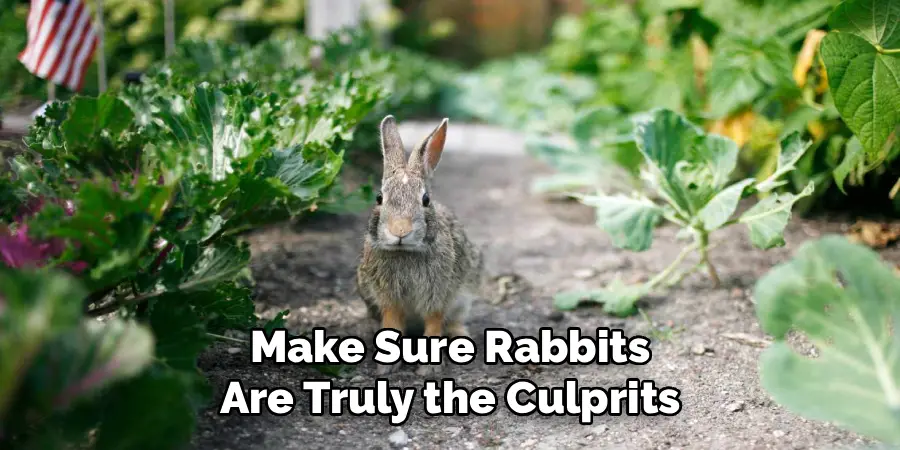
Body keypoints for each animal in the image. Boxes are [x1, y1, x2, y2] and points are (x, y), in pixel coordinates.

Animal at [356, 115, 485, 376]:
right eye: (379, 198)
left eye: (425, 200)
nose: (399, 231)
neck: (405, 251)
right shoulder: (388, 298)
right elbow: (392, 322)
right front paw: (386, 367)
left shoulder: (438, 293)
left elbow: (434, 322)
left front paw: (428, 369)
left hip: (465, 296)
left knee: (455, 320)